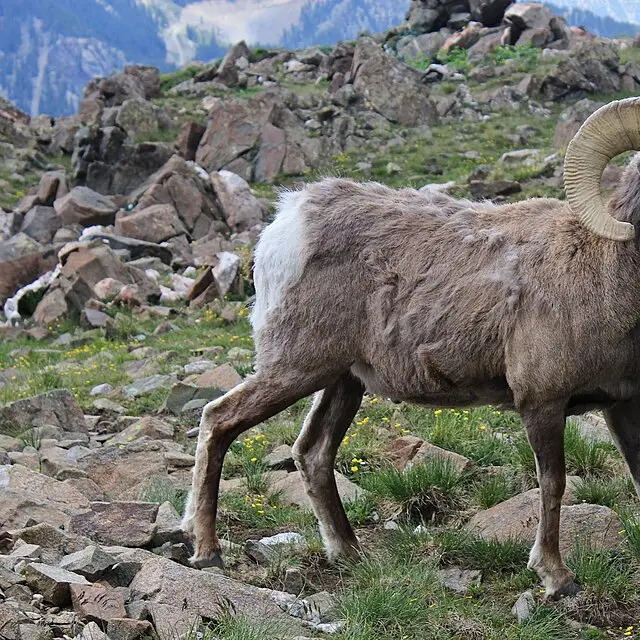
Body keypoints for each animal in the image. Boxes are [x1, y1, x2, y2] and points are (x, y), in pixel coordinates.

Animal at [182, 97, 640, 599]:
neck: (604, 270)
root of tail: (288, 223)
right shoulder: (541, 401)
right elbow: (553, 484)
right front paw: (557, 579)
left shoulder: (622, 404)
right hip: (294, 368)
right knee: (219, 420)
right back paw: (206, 552)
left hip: (343, 382)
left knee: (313, 452)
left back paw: (350, 554)